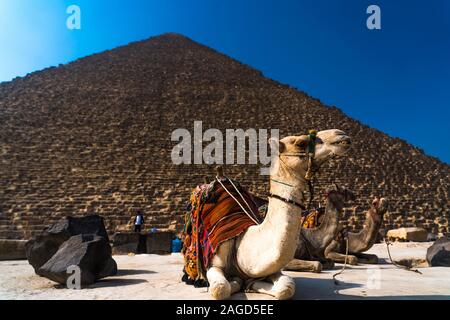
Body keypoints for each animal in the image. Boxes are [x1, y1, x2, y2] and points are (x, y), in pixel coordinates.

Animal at [207, 129, 352, 298]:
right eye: (301, 143)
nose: (340, 135)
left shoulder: (272, 269)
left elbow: (287, 287)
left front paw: (252, 284)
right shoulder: (215, 263)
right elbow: (221, 288)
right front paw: (236, 282)